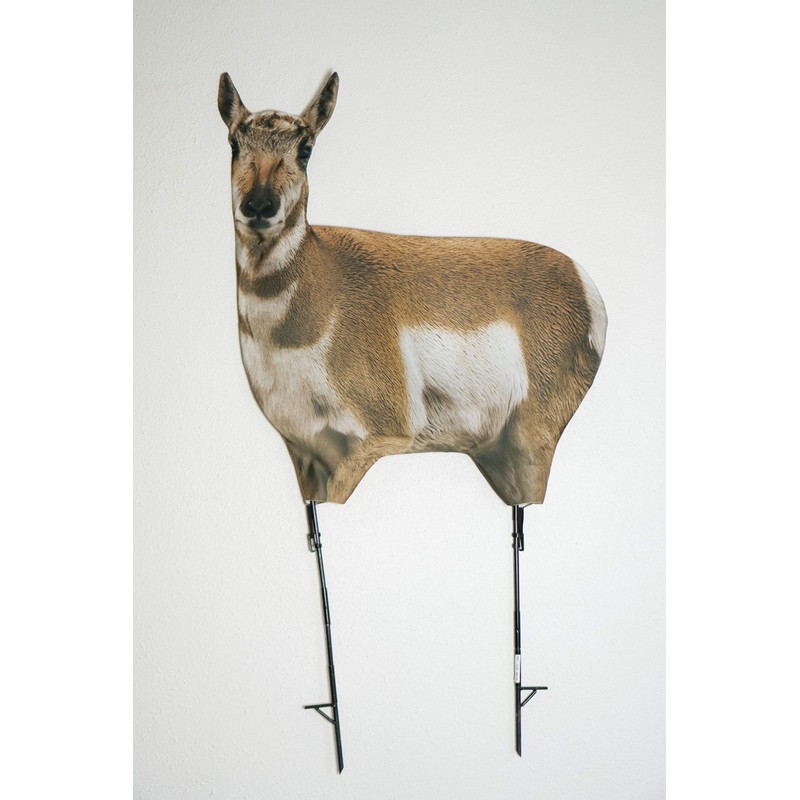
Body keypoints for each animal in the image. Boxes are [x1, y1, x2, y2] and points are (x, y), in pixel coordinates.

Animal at [218, 72, 606, 770]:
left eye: (306, 147)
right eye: (234, 141)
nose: (259, 205)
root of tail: (584, 281)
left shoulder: (369, 444)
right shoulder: (304, 458)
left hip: (530, 448)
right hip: (499, 454)